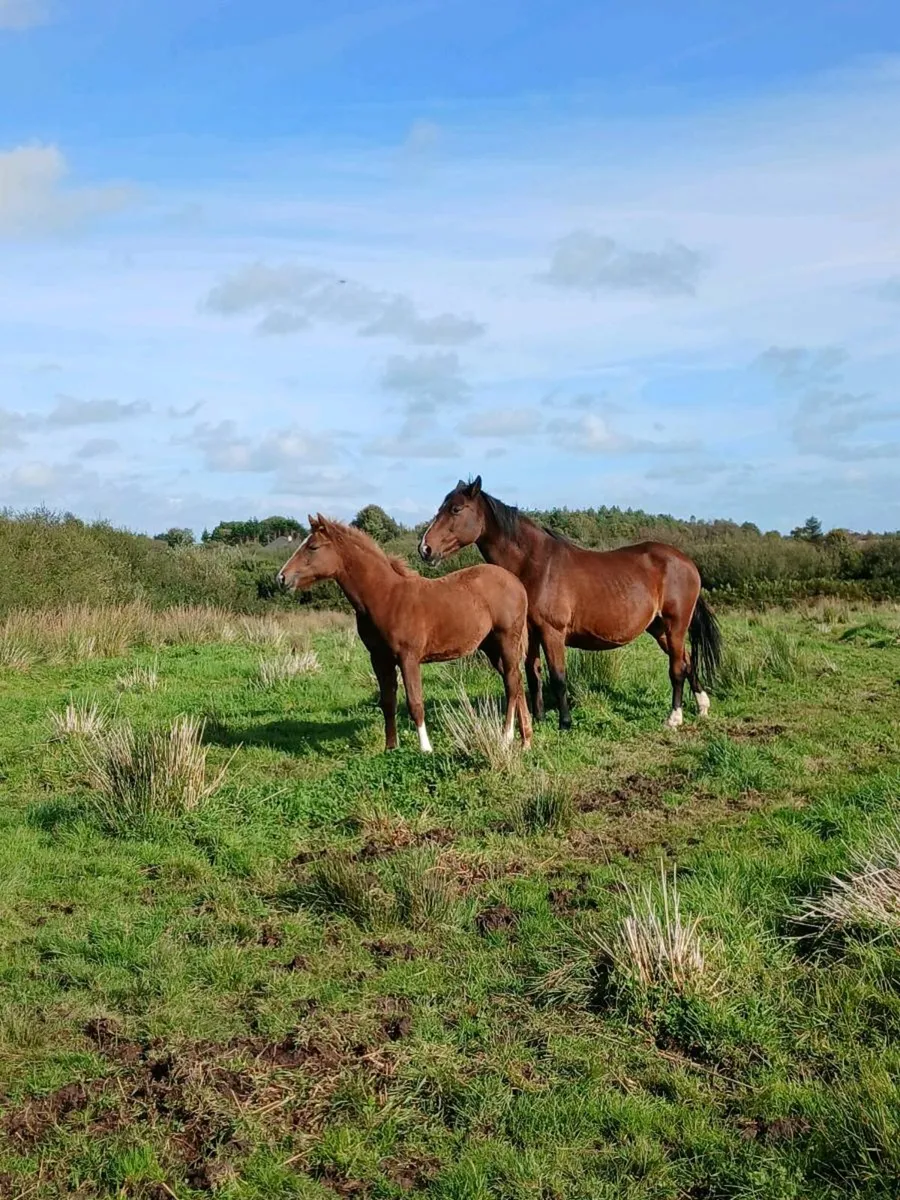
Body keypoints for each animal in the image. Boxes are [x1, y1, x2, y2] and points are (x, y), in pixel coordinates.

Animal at [277, 514, 532, 752]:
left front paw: (425, 748)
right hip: (490, 647)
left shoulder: (408, 657)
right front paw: (390, 747)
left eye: (313, 547)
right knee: (516, 681)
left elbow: (415, 703)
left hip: (507, 639)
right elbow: (388, 702)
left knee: (511, 684)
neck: (386, 596)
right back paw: (526, 740)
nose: (281, 578)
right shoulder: (379, 658)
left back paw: (506, 739)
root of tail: (516, 582)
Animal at [418, 477, 721, 732]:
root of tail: (686, 562)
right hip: (658, 628)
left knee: (677, 667)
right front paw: (539, 719)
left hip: (675, 625)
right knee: (687, 662)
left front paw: (565, 722)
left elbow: (558, 676)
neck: (536, 565)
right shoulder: (532, 632)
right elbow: (534, 674)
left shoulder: (553, 632)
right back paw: (703, 707)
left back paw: (674, 718)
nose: (425, 549)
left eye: (456, 509)